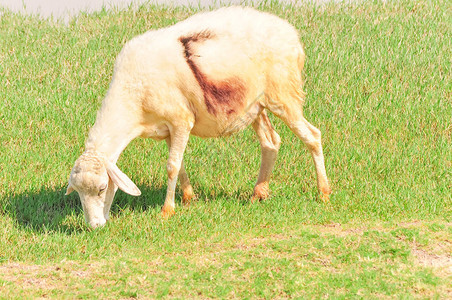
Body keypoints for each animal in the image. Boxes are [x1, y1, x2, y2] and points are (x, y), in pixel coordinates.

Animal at [65, 5, 330, 229]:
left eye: (102, 188)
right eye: (77, 192)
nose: (95, 226)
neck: (132, 101)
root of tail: (291, 35)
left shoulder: (181, 120)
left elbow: (171, 166)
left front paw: (167, 210)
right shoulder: (167, 129)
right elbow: (179, 164)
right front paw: (188, 198)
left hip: (284, 95)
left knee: (312, 136)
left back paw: (324, 193)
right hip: (255, 105)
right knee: (271, 142)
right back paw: (258, 193)